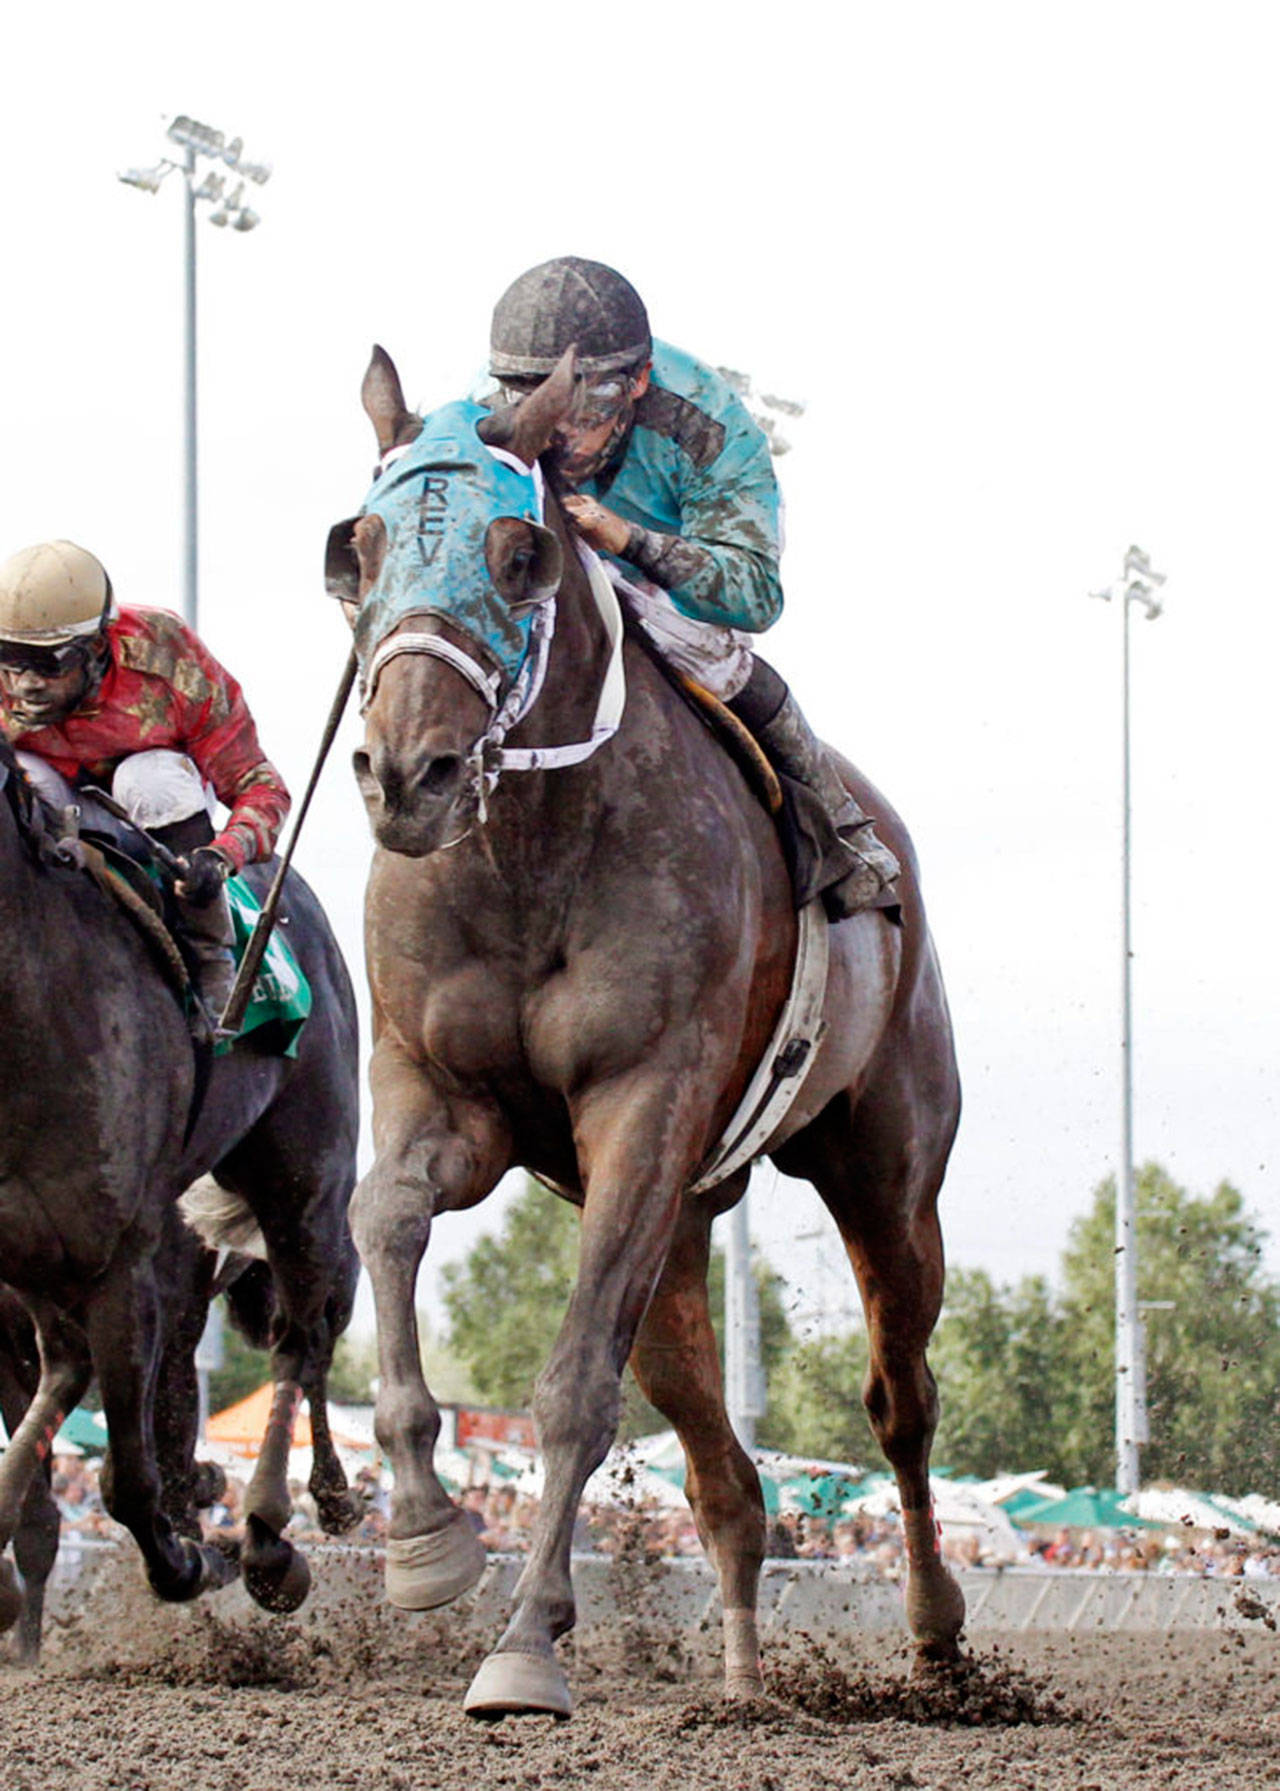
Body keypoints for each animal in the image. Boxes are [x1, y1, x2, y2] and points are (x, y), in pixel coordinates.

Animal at [0, 730, 359, 1640]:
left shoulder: (128, 1265)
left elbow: (132, 1480)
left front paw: (198, 1554)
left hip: (305, 1182)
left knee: (303, 1336)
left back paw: (276, 1530)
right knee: (70, 1371)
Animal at [340, 349, 959, 1719]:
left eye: (519, 552)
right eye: (355, 547)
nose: (407, 776)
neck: (531, 853)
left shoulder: (642, 1104)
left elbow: (576, 1384)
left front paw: (524, 1643)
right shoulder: (439, 1093)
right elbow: (382, 1220)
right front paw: (422, 1539)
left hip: (884, 1178)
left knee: (898, 1400)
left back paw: (936, 1634)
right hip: (683, 1227)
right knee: (720, 1464)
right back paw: (737, 1673)